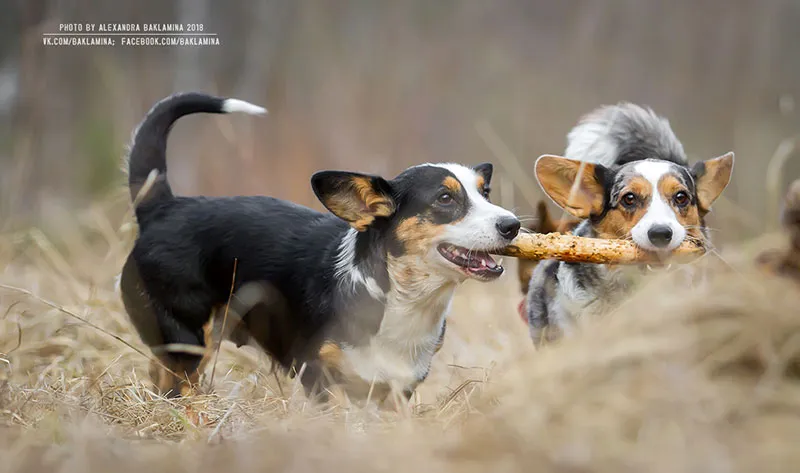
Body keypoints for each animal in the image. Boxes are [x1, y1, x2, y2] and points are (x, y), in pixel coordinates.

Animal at [117, 91, 520, 398]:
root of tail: (164, 206)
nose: (513, 226)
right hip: (186, 338)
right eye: (444, 199)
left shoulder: (396, 391)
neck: (402, 300)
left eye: (484, 193)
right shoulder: (318, 376)